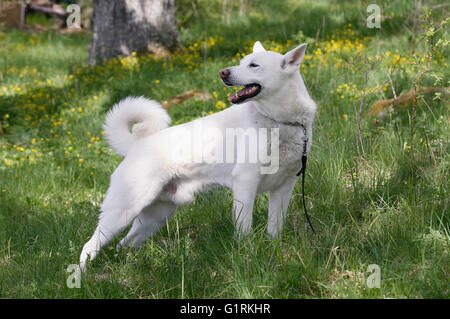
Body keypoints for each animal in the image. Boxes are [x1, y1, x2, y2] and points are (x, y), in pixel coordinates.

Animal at [79, 40, 316, 270]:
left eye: (253, 65)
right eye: (242, 62)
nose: (223, 72)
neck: (281, 122)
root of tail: (135, 146)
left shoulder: (284, 188)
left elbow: (275, 229)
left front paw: (274, 253)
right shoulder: (246, 182)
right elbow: (244, 228)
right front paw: (247, 256)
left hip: (155, 217)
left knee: (124, 244)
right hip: (122, 212)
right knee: (89, 247)